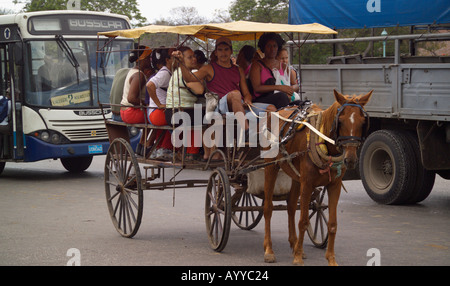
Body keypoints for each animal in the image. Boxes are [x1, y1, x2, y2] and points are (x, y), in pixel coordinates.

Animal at [262, 89, 370, 266]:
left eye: (362, 122)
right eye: (340, 121)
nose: (351, 159)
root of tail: (277, 111)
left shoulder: (334, 185)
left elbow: (332, 224)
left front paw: (331, 259)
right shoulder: (307, 184)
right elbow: (303, 221)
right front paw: (298, 258)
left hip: (295, 176)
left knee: (291, 206)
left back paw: (294, 244)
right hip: (271, 167)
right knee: (268, 208)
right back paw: (269, 250)